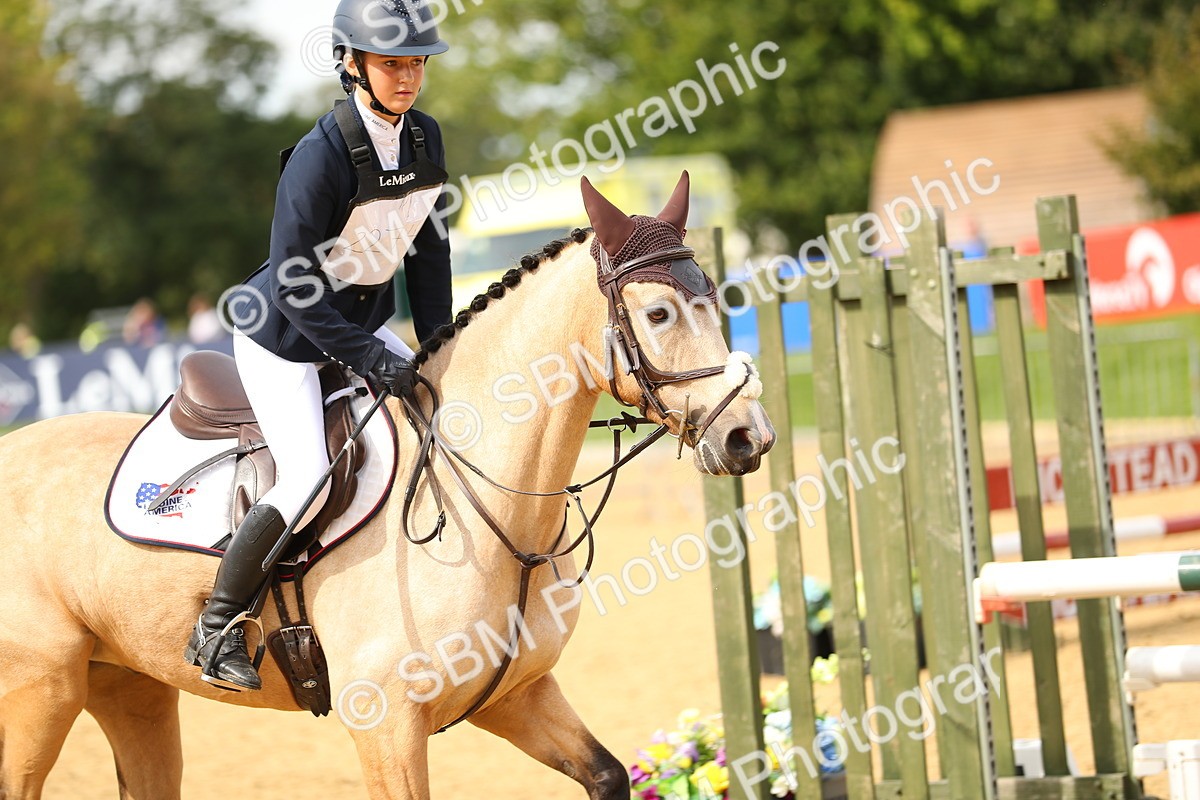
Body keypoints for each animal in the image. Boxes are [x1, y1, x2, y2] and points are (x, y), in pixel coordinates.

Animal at [0, 172, 775, 799]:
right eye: (659, 314)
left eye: (715, 300)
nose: (750, 437)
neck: (492, 511)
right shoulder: (386, 725)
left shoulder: (515, 696)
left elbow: (609, 774)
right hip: (41, 691)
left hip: (130, 687)